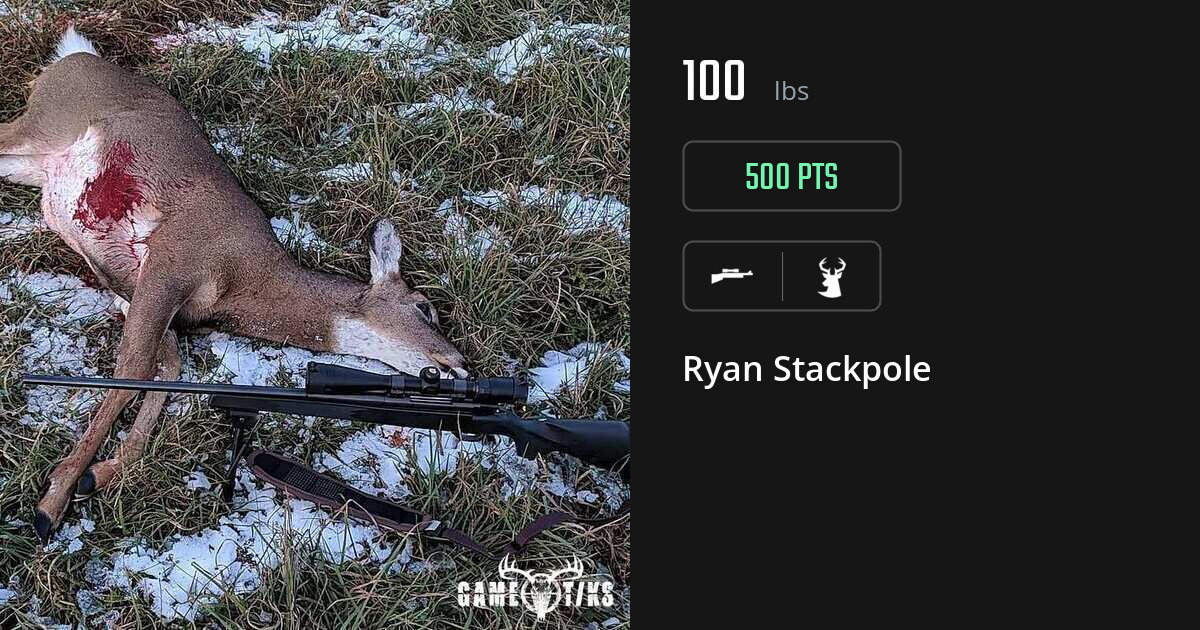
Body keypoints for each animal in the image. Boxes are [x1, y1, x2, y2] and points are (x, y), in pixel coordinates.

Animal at [0, 27, 467, 541]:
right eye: (425, 306)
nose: (461, 363)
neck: (246, 280)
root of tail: (75, 54)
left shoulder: (145, 294)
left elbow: (168, 370)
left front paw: (99, 474)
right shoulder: (172, 260)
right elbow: (132, 370)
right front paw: (54, 498)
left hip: (31, 163)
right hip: (43, 123)